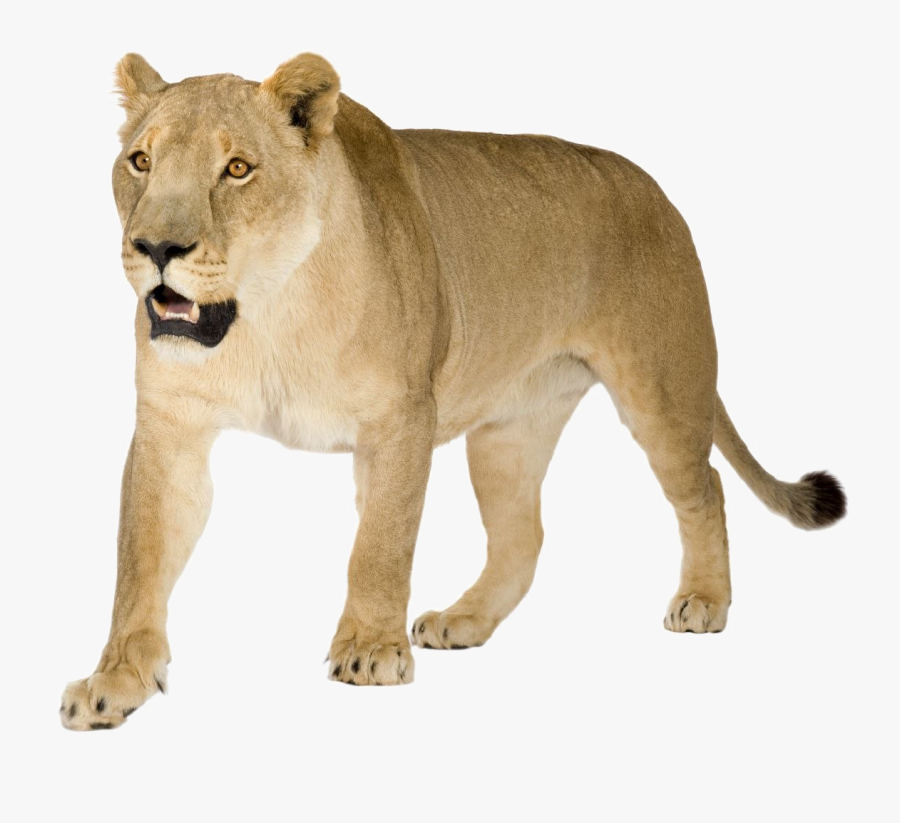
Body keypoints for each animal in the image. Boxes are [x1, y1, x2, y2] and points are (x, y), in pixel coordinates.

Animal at [60, 52, 845, 730]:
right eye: (141, 161)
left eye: (237, 169)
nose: (158, 249)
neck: (266, 315)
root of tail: (658, 190)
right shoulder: (170, 428)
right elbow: (140, 560)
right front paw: (114, 681)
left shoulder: (401, 420)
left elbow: (379, 546)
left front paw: (369, 651)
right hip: (509, 431)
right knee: (524, 537)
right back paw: (463, 621)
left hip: (662, 387)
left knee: (704, 486)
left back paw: (705, 599)